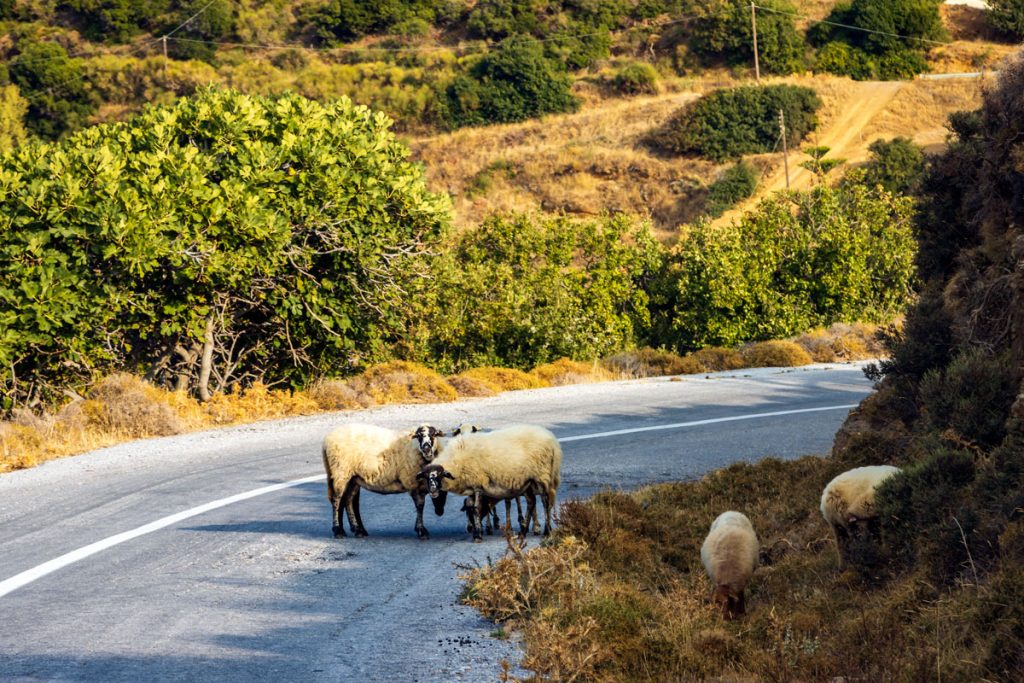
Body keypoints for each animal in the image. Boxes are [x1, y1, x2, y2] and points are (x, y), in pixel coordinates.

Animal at [413, 423, 561, 540]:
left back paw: (546, 531)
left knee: (545, 501)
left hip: (541, 475)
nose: (432, 491)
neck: (457, 461)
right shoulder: (472, 486)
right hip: (528, 481)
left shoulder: (478, 483)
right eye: (426, 477)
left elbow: (476, 508)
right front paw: (477, 531)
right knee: (531, 502)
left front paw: (478, 535)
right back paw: (522, 533)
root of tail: (552, 439)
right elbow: (472, 506)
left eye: (439, 475)